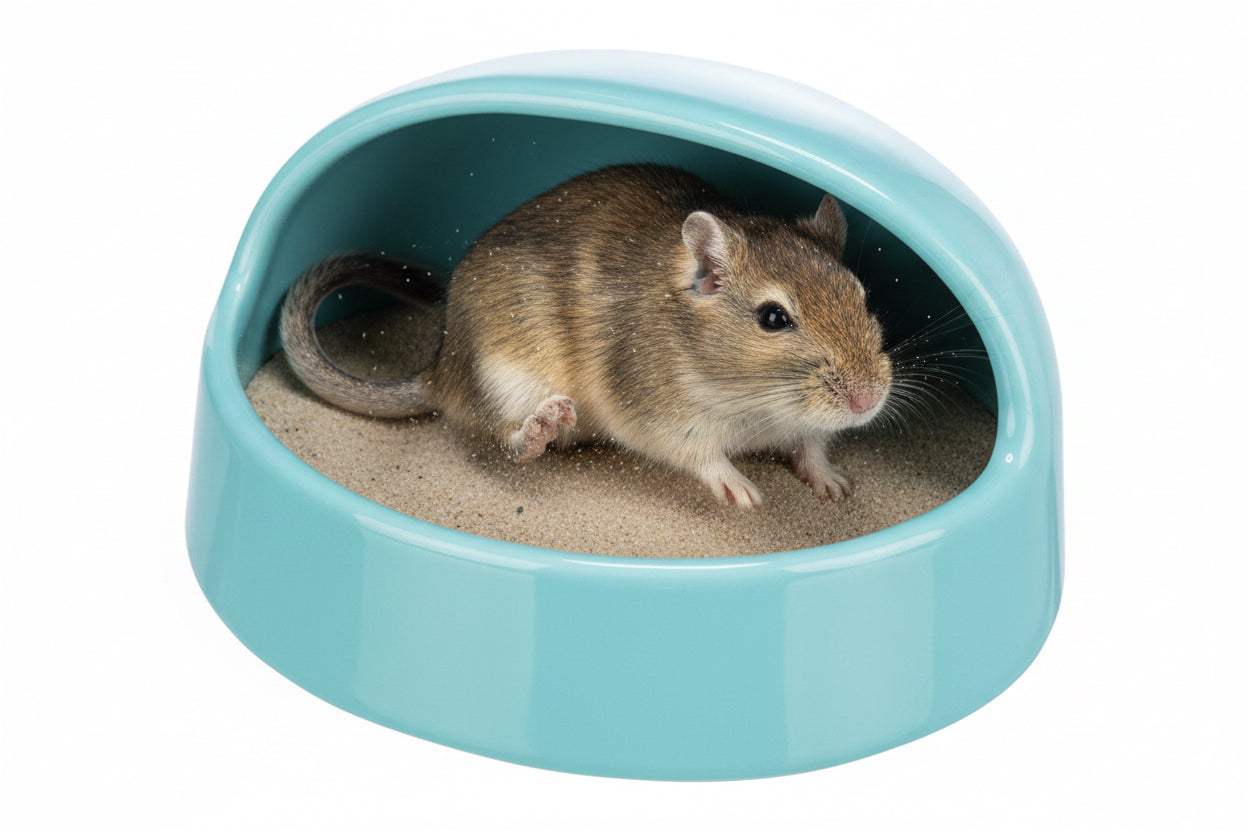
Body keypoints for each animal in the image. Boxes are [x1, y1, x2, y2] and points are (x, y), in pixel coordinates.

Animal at [280, 164, 892, 508]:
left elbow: (811, 446)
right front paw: (741, 491)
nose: (868, 401)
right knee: (508, 442)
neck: (756, 400)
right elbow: (701, 457)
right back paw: (541, 427)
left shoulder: (801, 425)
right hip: (509, 376)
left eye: (863, 297)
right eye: (773, 318)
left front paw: (834, 485)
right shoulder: (659, 413)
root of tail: (439, 370)